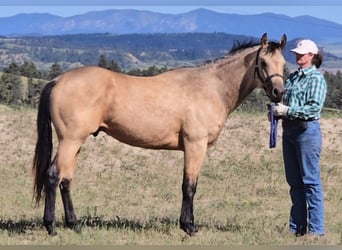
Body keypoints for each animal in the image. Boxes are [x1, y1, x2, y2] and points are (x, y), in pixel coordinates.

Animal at [33, 32, 288, 235]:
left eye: (283, 63)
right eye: (263, 62)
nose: (278, 92)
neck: (210, 87)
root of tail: (57, 80)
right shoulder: (195, 145)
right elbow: (189, 186)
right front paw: (189, 227)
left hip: (76, 143)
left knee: (66, 180)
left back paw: (74, 225)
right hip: (70, 140)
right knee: (53, 176)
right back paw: (51, 227)